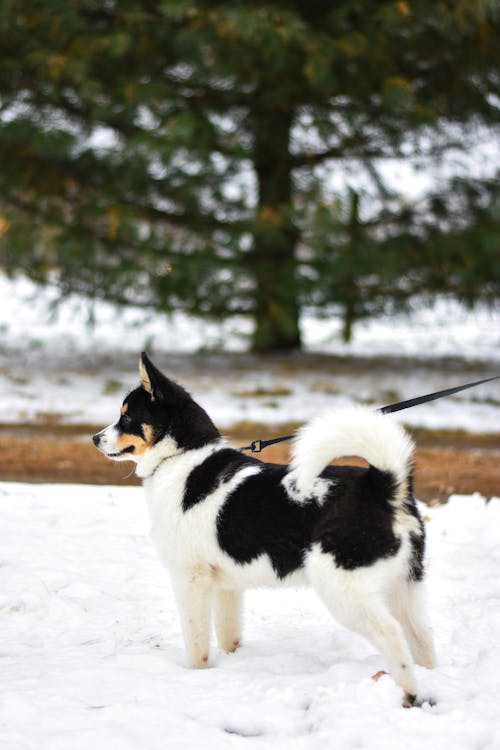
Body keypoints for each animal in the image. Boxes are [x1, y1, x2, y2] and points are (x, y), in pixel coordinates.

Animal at [92, 356, 436, 708]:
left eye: (127, 417)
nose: (95, 438)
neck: (181, 459)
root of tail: (383, 486)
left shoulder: (191, 578)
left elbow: (196, 641)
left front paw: (195, 676)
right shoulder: (226, 585)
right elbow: (228, 634)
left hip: (346, 591)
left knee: (392, 635)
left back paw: (408, 692)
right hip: (404, 586)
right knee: (422, 638)